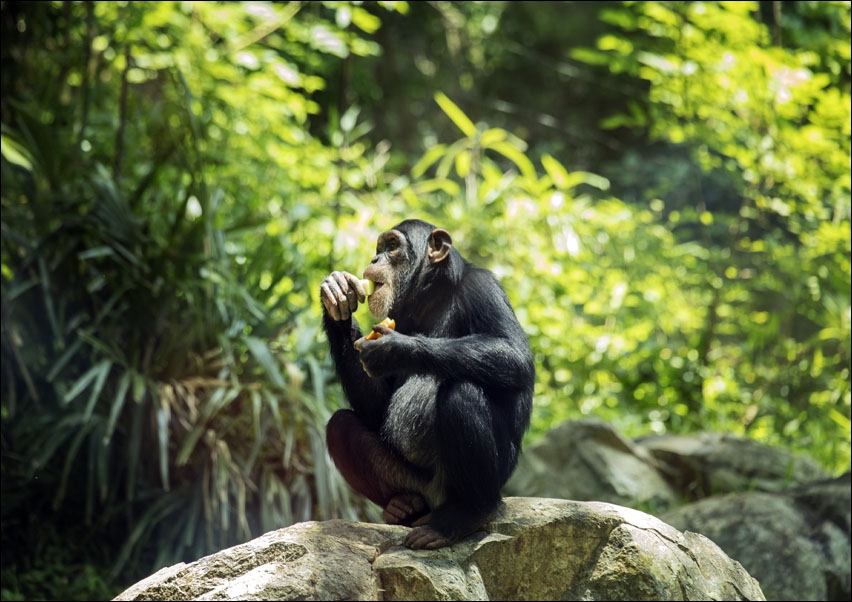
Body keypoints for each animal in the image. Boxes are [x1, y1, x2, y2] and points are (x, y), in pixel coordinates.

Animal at [320, 218, 532, 548]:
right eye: (379, 247)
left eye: (392, 246)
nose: (375, 259)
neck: (431, 296)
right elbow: (376, 411)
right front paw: (337, 296)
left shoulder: (483, 289)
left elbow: (514, 354)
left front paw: (393, 349)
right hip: (413, 482)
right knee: (340, 425)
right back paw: (403, 506)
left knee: (462, 394)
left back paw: (464, 516)